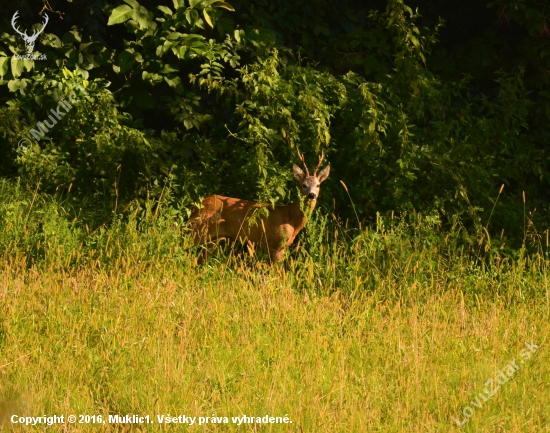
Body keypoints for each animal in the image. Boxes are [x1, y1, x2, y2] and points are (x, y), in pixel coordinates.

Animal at [191, 150, 332, 262]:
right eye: (304, 185)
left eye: (318, 185)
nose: (312, 195)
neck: (290, 219)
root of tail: (197, 204)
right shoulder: (274, 245)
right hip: (198, 229)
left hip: (213, 238)